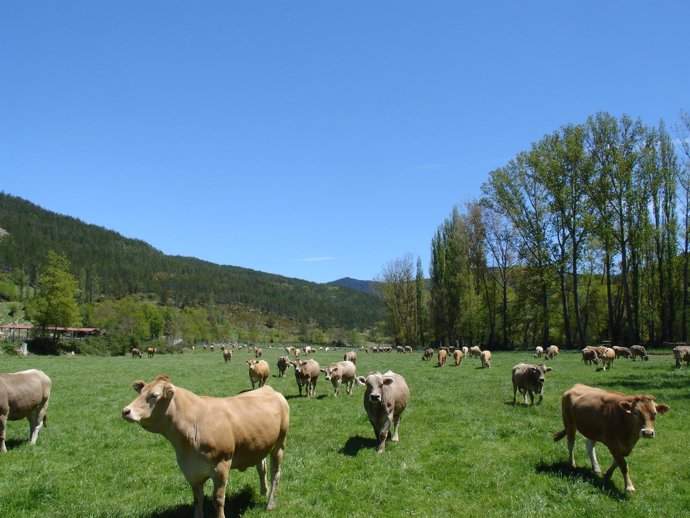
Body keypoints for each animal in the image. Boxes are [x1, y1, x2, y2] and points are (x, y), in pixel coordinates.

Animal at [121, 378, 288, 518]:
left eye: (154, 395)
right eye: (140, 392)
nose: (126, 411)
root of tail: (267, 388)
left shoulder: (221, 466)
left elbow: (218, 499)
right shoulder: (190, 470)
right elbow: (197, 498)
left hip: (279, 444)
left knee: (276, 473)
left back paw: (270, 503)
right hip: (258, 445)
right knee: (262, 467)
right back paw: (264, 491)